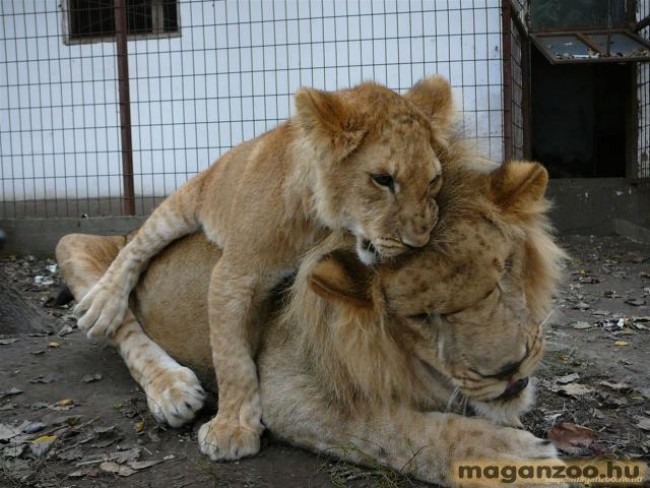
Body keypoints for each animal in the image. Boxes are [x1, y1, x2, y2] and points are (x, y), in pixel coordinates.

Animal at [58, 153, 564, 488]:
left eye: (506, 269)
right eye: (423, 316)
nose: (509, 369)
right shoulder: (285, 387)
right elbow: (395, 429)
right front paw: (513, 460)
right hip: (82, 245)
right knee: (114, 307)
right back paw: (172, 389)